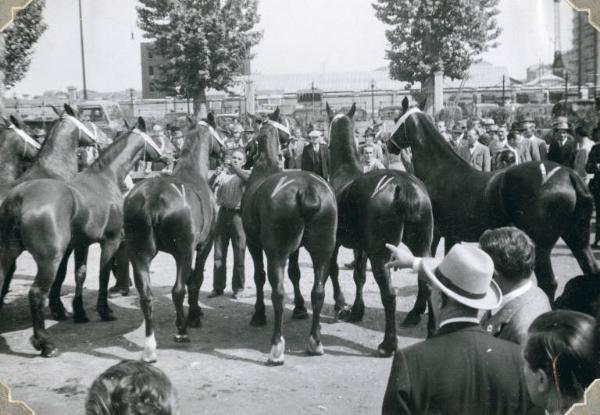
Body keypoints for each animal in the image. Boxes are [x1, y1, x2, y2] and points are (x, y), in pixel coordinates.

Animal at [0, 117, 164, 358]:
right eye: (152, 137)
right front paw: (104, 311)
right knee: (36, 293)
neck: (105, 178)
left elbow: (80, 274)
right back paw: (45, 344)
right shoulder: (110, 240)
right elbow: (103, 274)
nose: (165, 157)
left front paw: (79, 312)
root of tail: (19, 197)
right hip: (49, 259)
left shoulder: (81, 244)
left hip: (8, 253)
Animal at [123, 114, 225, 364]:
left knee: (146, 296)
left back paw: (150, 347)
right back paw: (181, 330)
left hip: (138, 255)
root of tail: (150, 200)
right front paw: (195, 315)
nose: (226, 150)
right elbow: (195, 279)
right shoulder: (203, 246)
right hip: (183, 252)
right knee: (178, 290)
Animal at [243, 108, 338, 368]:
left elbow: (258, 276)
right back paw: (315, 341)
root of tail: (308, 190)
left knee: (277, 293)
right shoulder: (294, 250)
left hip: (276, 253)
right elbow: (296, 273)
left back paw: (276, 346)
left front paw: (258, 314)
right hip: (323, 250)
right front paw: (299, 308)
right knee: (318, 291)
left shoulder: (254, 244)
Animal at [326, 101, 434, 354]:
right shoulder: (360, 246)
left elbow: (334, 270)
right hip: (422, 244)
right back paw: (432, 331)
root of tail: (404, 186)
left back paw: (388, 343)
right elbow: (358, 275)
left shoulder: (335, 243)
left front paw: (340, 305)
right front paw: (356, 310)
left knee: (389, 294)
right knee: (426, 284)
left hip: (381, 255)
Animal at [386, 97, 596, 306]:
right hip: (577, 237)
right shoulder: (452, 235)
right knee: (591, 270)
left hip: (542, 246)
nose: (388, 145)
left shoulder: (433, 234)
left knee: (549, 283)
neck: (439, 170)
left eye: (396, 118)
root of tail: (569, 175)